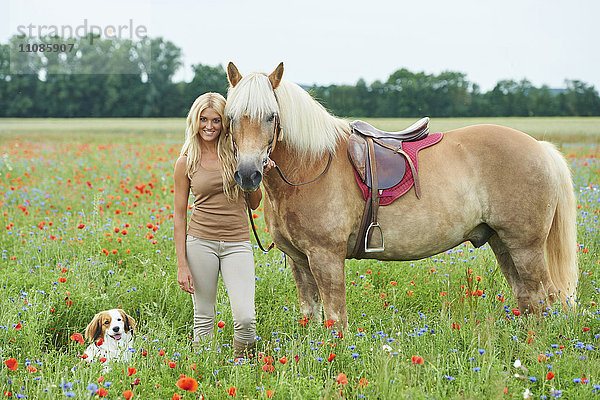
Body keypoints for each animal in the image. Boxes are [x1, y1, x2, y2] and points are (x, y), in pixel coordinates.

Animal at [224, 61, 576, 326]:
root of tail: (540, 148)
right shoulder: (300, 261)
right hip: (503, 243)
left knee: (546, 298)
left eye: (271, 116)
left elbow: (336, 320)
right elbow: (310, 317)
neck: (312, 166)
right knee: (528, 300)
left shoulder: (326, 257)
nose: (248, 174)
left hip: (526, 247)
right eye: (231, 117)